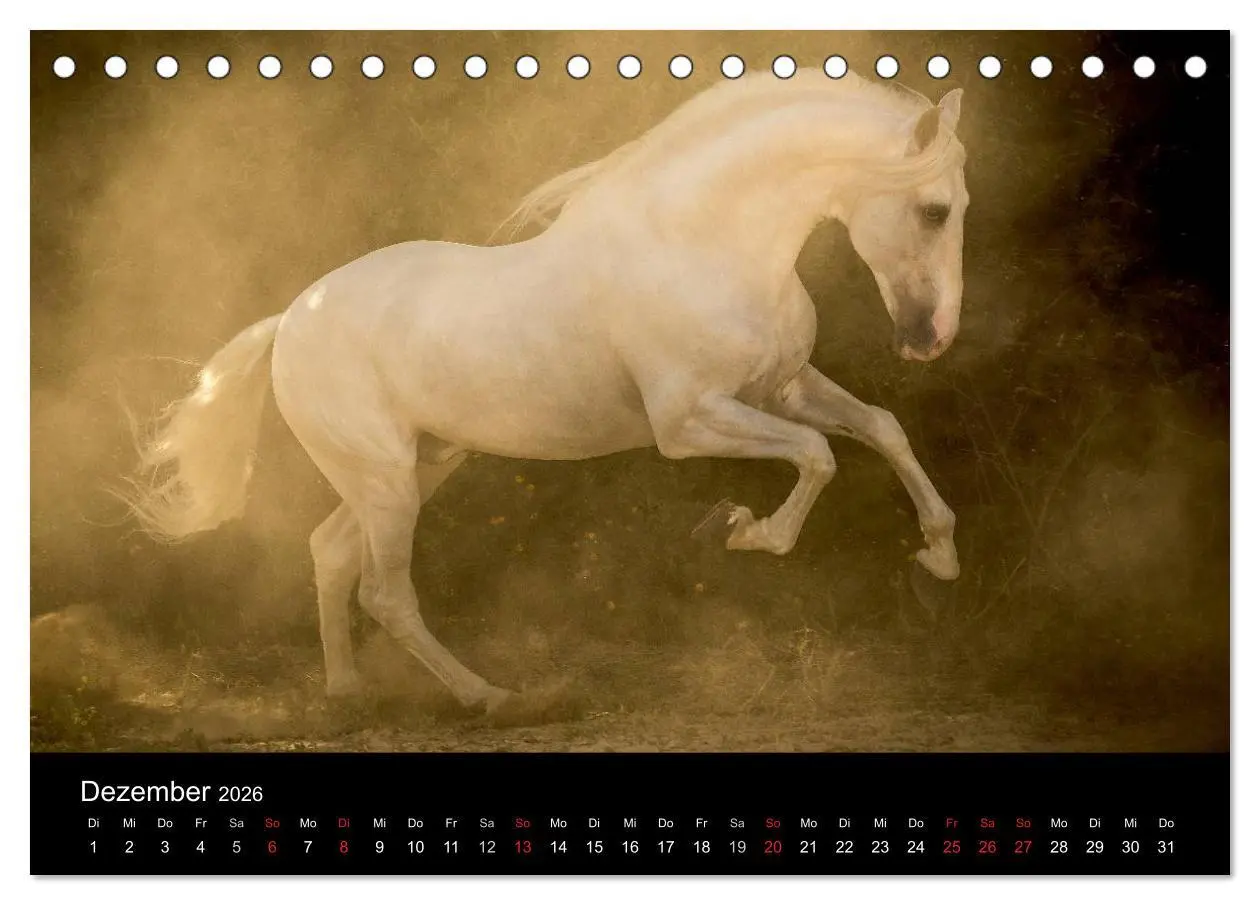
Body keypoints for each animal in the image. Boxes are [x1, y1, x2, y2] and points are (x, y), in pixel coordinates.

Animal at [121, 68, 968, 716]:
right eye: (934, 210)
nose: (932, 338)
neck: (701, 241)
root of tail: (291, 319)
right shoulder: (689, 421)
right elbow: (820, 455)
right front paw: (739, 529)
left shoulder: (782, 387)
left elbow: (880, 428)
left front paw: (939, 556)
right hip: (386, 479)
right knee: (385, 592)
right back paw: (491, 697)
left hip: (418, 467)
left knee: (330, 553)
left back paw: (348, 693)